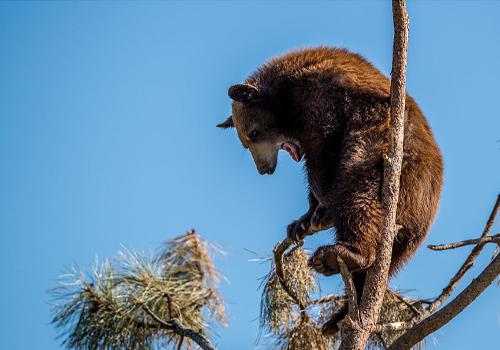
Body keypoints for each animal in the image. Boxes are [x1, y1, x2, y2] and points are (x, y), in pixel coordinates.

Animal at [217, 47, 444, 336]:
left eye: (254, 133)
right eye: (245, 142)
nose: (264, 169)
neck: (286, 96)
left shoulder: (323, 99)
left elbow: (324, 149)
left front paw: (322, 207)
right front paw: (301, 221)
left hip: (386, 158)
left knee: (358, 194)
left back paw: (341, 254)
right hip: (405, 231)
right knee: (382, 265)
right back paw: (338, 315)